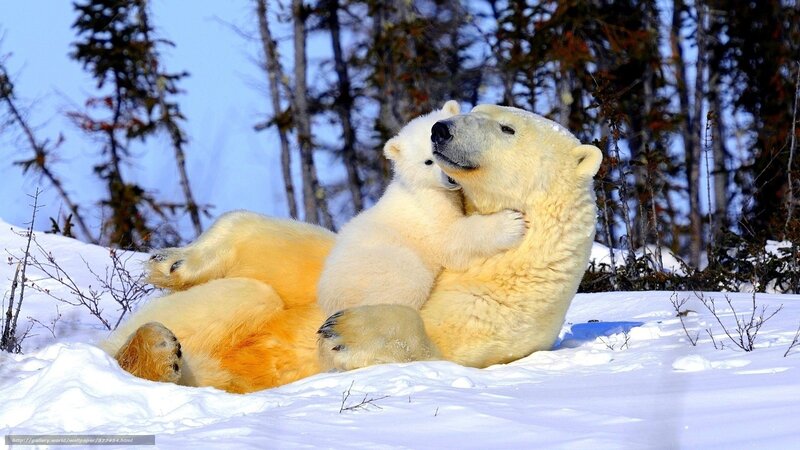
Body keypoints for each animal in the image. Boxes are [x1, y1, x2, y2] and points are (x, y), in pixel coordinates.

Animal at [317, 100, 528, 317]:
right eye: (428, 161)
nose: (450, 179)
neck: (418, 185)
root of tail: (329, 298)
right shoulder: (429, 206)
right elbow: (449, 237)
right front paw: (512, 223)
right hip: (384, 266)